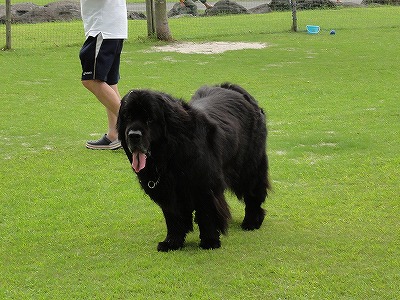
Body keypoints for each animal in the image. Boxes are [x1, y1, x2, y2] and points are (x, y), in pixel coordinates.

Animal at [117, 83, 270, 252]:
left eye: (150, 119)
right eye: (127, 117)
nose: (133, 135)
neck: (170, 154)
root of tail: (236, 90)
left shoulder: (204, 185)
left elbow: (207, 214)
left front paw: (210, 242)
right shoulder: (168, 191)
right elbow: (173, 217)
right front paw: (172, 242)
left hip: (249, 167)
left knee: (253, 193)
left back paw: (252, 221)